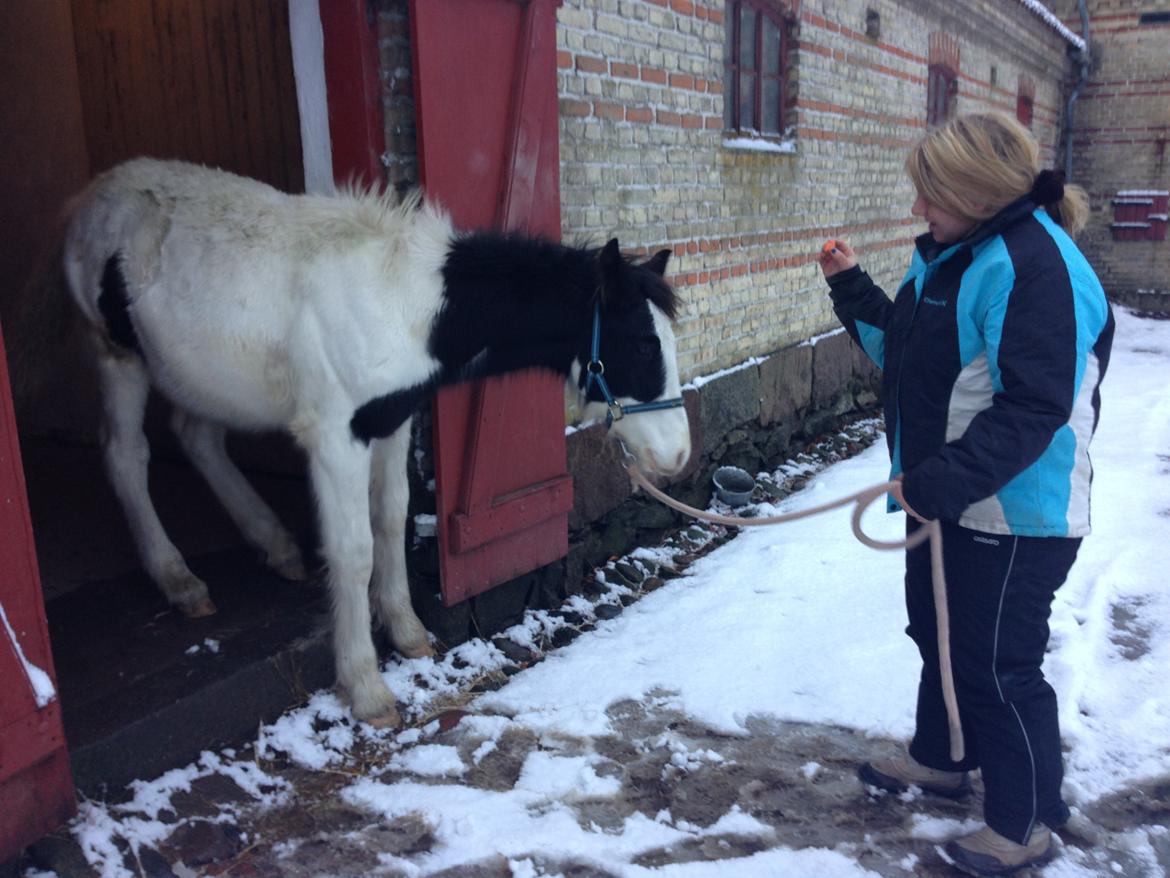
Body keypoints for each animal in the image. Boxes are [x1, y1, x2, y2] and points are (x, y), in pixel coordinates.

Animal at [61, 158, 683, 730]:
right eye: (643, 343)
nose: (676, 456)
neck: (400, 302)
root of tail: (93, 196)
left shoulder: (392, 421)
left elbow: (390, 518)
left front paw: (408, 633)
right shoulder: (337, 437)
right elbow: (353, 550)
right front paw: (365, 687)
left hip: (202, 375)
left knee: (199, 439)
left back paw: (274, 546)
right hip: (116, 356)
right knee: (126, 456)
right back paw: (179, 580)